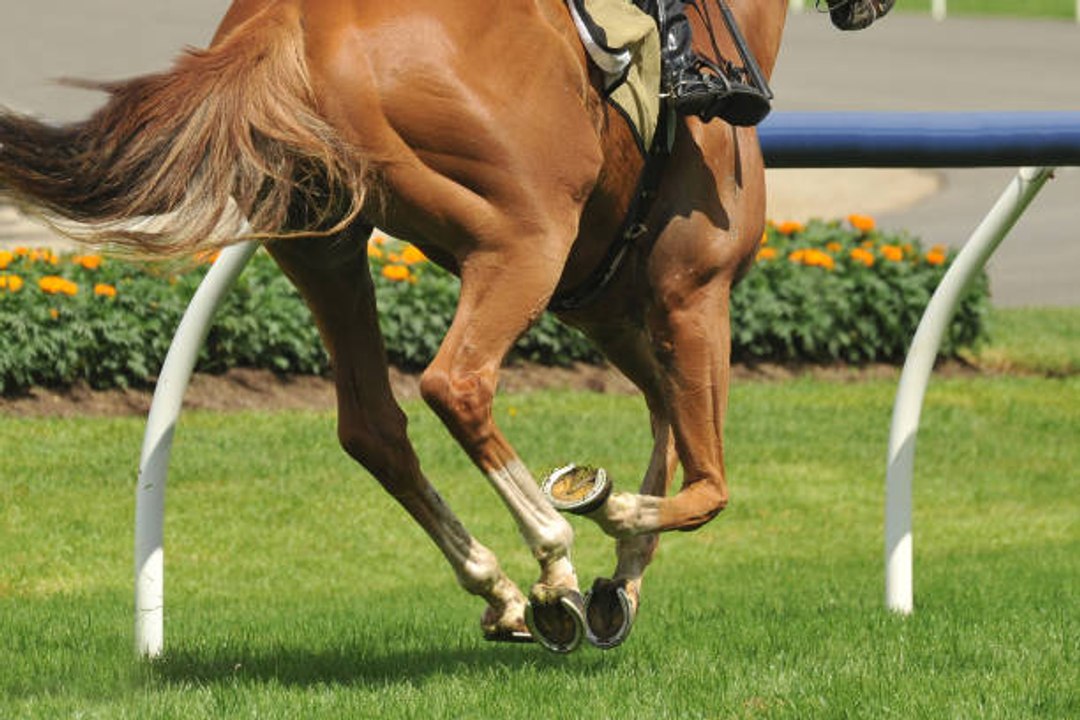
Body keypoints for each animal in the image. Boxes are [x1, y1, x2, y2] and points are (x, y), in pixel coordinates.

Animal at [0, 0, 888, 653]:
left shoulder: (609, 310)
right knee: (456, 385)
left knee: (372, 425)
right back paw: (551, 564)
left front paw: (622, 583)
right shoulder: (693, 293)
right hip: (521, 240)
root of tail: (290, 21)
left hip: (325, 246)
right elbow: (708, 483)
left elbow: (669, 427)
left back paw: (502, 588)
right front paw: (608, 520)